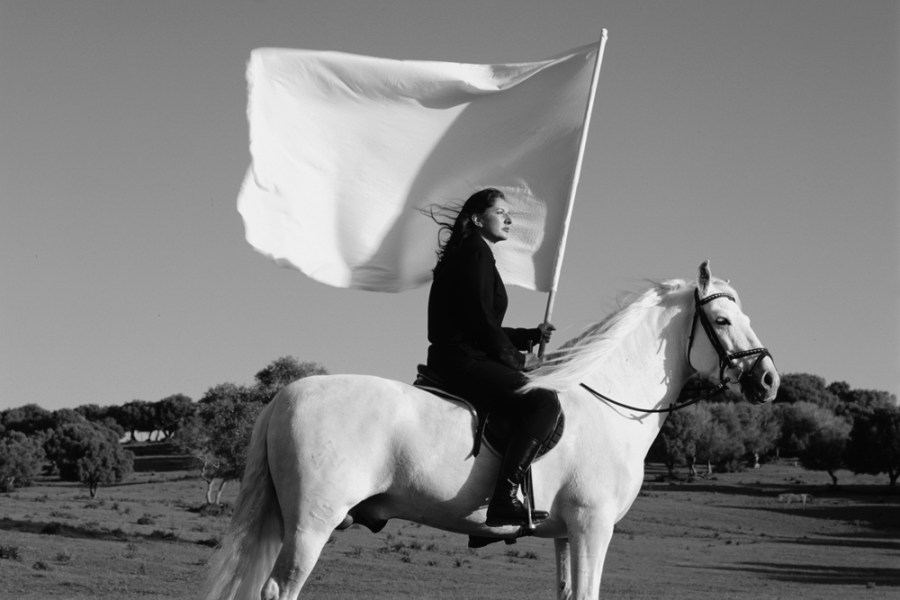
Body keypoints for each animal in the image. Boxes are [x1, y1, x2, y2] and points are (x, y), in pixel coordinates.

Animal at [204, 262, 780, 600]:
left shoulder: (565, 534)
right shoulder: (593, 527)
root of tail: (285, 395)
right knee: (278, 591)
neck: (607, 403)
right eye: (723, 322)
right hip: (311, 523)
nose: (769, 379)